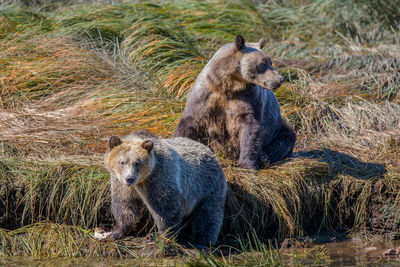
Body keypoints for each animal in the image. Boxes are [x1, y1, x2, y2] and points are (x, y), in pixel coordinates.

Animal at [176, 35, 296, 170]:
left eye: (270, 62)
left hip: (277, 127)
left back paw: (264, 157)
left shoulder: (248, 99)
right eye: (263, 63)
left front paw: (247, 163)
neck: (229, 85)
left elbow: (250, 129)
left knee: (286, 138)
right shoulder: (206, 97)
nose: (280, 79)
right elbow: (189, 123)